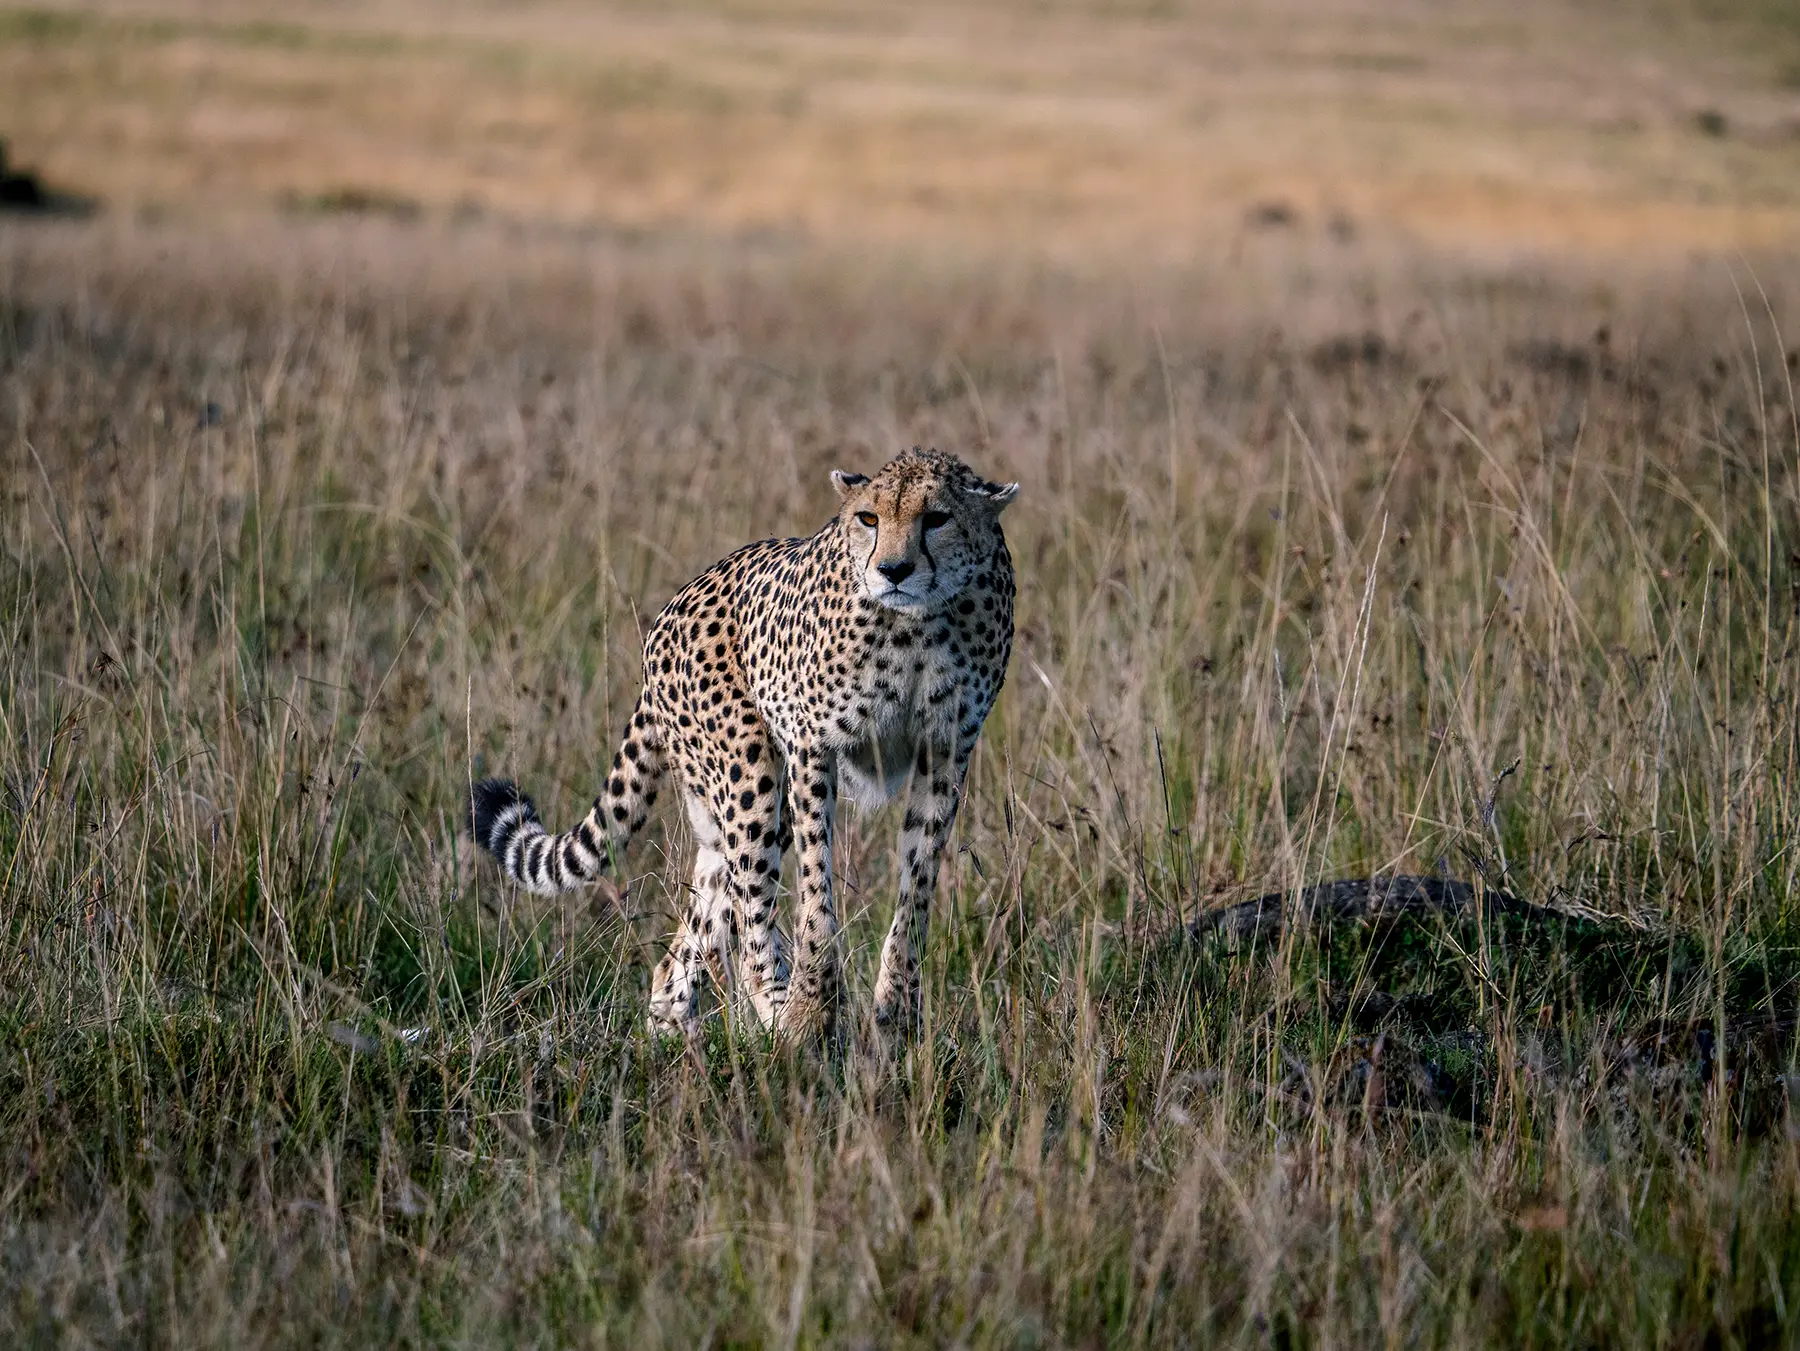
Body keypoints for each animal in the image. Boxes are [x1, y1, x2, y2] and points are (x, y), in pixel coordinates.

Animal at [467, 447, 1017, 1039]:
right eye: (868, 518)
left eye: (936, 518)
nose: (893, 570)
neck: (918, 622)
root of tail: (676, 603)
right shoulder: (811, 746)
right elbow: (816, 885)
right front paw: (813, 1006)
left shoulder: (945, 752)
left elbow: (916, 882)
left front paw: (897, 1008)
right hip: (752, 774)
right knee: (747, 911)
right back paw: (780, 1015)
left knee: (690, 940)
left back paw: (676, 1040)